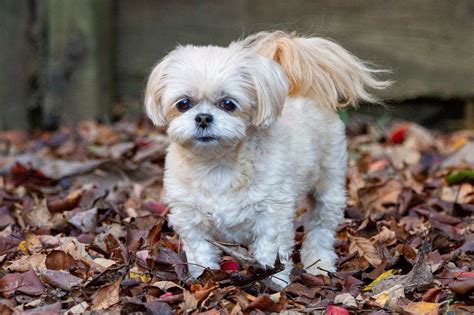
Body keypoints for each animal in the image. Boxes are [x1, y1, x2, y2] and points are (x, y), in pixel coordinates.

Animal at [144, 31, 388, 288]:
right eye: (183, 103)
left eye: (228, 103)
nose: (202, 117)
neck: (217, 166)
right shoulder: (190, 220)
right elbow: (200, 253)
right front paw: (204, 278)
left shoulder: (272, 216)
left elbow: (270, 251)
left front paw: (274, 284)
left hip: (329, 185)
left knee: (320, 228)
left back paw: (318, 263)